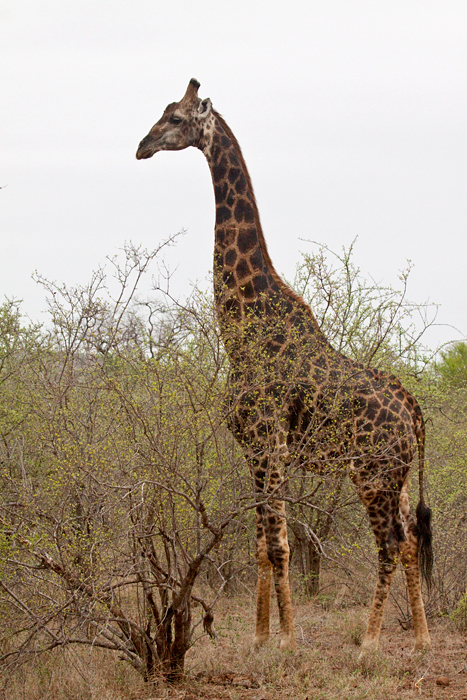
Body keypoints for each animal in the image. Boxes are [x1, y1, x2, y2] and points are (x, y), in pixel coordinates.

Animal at [136, 79, 436, 652]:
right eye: (161, 112)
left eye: (178, 118)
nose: (141, 146)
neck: (241, 325)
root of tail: (414, 409)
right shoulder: (252, 449)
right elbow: (261, 544)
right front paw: (259, 638)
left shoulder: (268, 443)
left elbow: (279, 545)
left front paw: (290, 640)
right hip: (399, 477)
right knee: (410, 539)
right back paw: (421, 639)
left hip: (372, 475)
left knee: (388, 545)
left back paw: (370, 642)